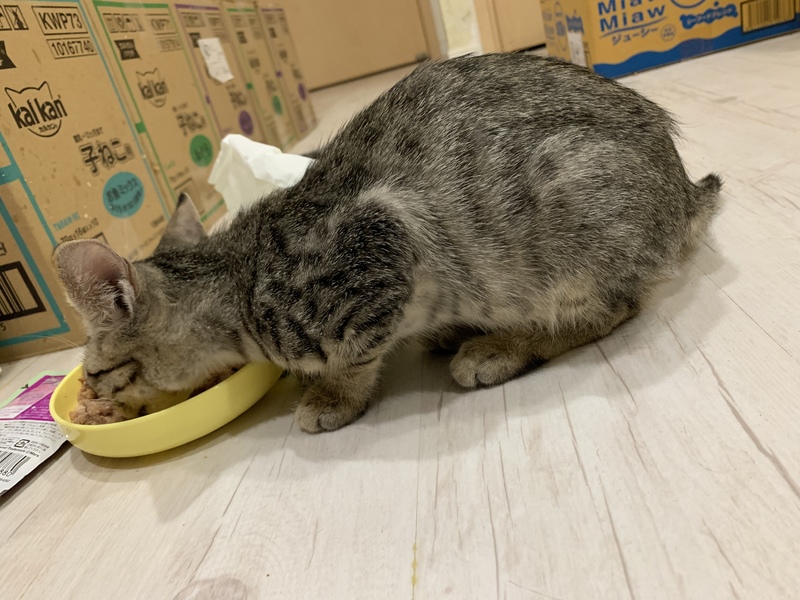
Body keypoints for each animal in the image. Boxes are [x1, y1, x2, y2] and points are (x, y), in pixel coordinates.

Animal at [54, 53, 721, 432]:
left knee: (610, 309)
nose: (90, 393)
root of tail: (684, 191)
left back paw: (499, 346)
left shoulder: (378, 249)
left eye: (97, 370)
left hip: (566, 225)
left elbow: (352, 359)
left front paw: (330, 398)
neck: (239, 278)